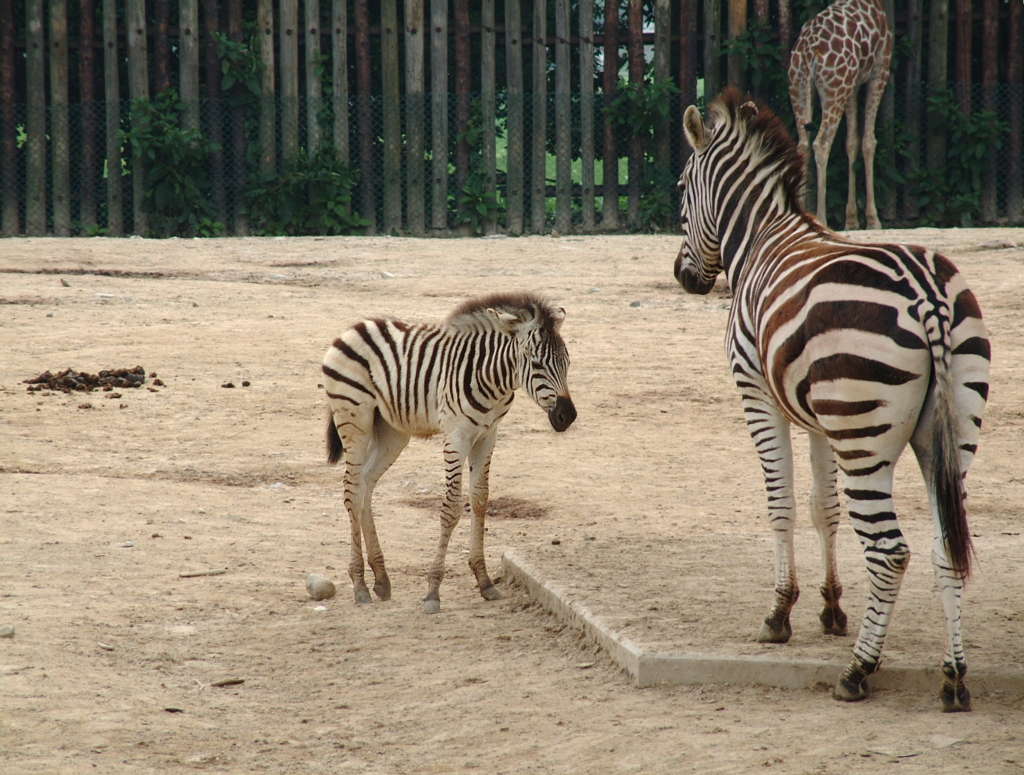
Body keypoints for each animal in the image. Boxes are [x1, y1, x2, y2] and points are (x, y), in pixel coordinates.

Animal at [321, 290, 577, 610]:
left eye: (567, 361)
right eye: (535, 363)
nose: (568, 416)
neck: (492, 379)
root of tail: (354, 327)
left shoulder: (487, 435)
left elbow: (480, 500)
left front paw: (484, 581)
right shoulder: (457, 436)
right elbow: (452, 508)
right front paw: (433, 590)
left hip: (392, 431)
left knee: (367, 484)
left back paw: (380, 578)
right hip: (355, 420)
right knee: (353, 492)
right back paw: (360, 584)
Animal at [675, 87, 987, 708]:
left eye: (680, 188)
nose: (683, 277)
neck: (763, 235)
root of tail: (927, 293)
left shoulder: (758, 394)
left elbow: (782, 504)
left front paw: (780, 613)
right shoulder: (820, 419)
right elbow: (825, 509)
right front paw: (831, 608)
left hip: (863, 436)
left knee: (891, 551)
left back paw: (858, 670)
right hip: (948, 432)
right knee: (947, 545)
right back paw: (953, 677)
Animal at [786, 0, 892, 229]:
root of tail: (808, 51)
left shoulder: (852, 85)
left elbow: (851, 142)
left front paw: (851, 220)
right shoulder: (880, 69)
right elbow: (869, 142)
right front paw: (873, 220)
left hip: (798, 88)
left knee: (802, 145)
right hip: (834, 90)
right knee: (821, 143)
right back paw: (822, 218)